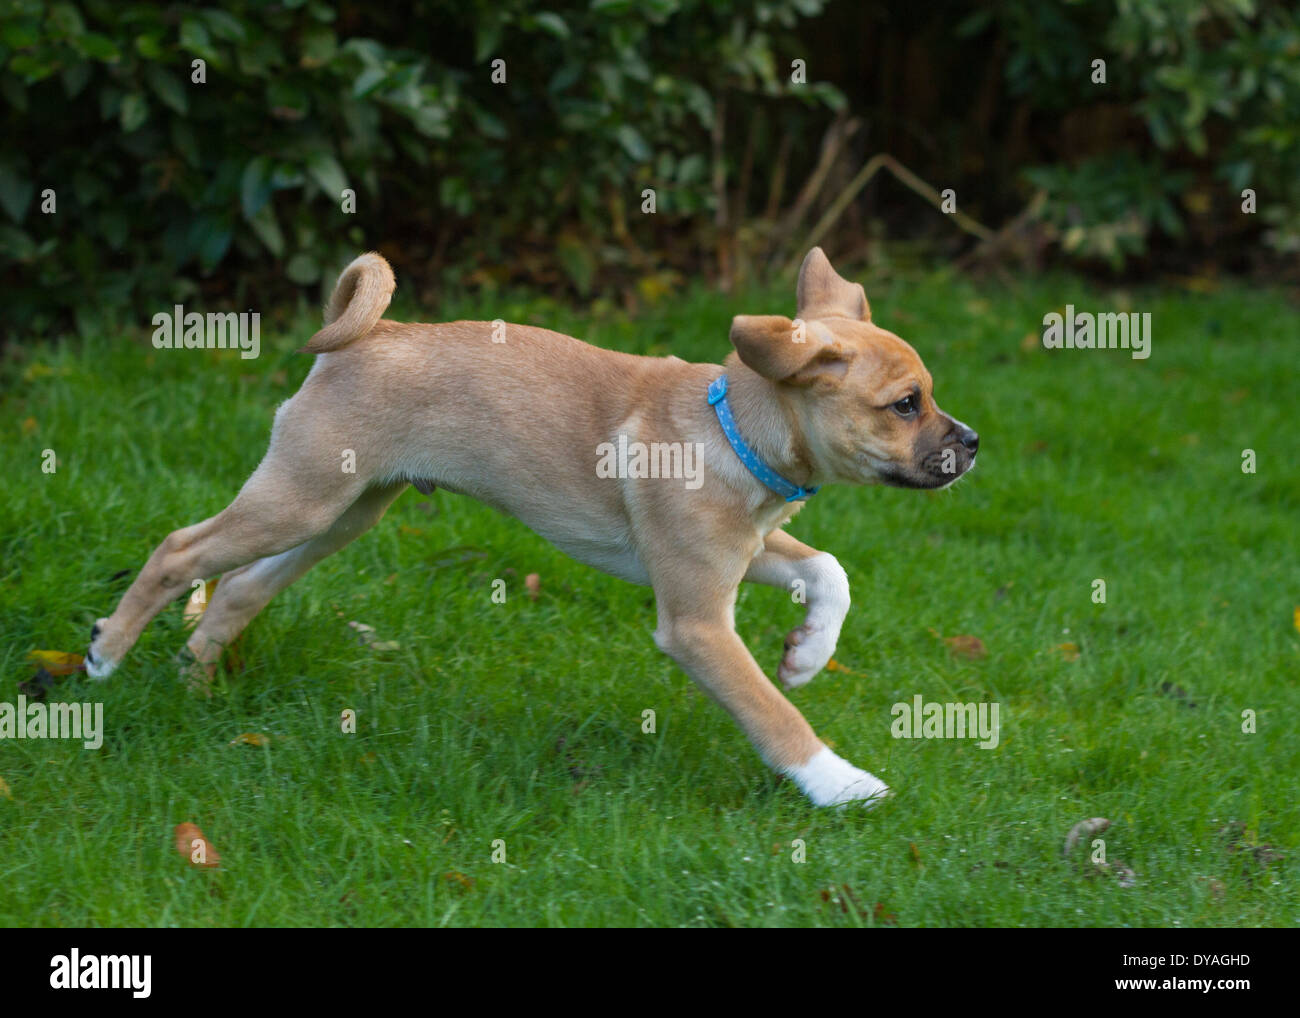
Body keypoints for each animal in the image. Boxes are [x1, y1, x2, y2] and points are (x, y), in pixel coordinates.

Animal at [83, 247, 977, 806]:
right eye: (905, 405)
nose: (971, 444)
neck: (734, 430)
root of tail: (370, 334)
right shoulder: (696, 620)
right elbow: (771, 715)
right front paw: (839, 782)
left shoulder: (742, 552)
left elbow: (829, 570)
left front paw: (807, 653)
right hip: (297, 501)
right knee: (180, 551)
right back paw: (105, 653)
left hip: (342, 511)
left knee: (238, 586)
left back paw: (194, 683)